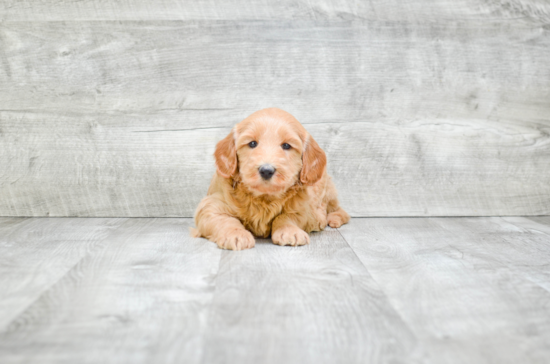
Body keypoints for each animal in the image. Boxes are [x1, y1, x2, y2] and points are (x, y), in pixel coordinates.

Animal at [192, 107, 352, 250]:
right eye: (252, 143)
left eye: (286, 145)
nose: (266, 170)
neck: (264, 198)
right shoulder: (210, 205)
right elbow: (226, 219)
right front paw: (236, 235)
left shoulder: (305, 209)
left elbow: (287, 216)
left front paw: (289, 230)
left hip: (327, 189)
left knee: (338, 210)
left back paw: (330, 218)